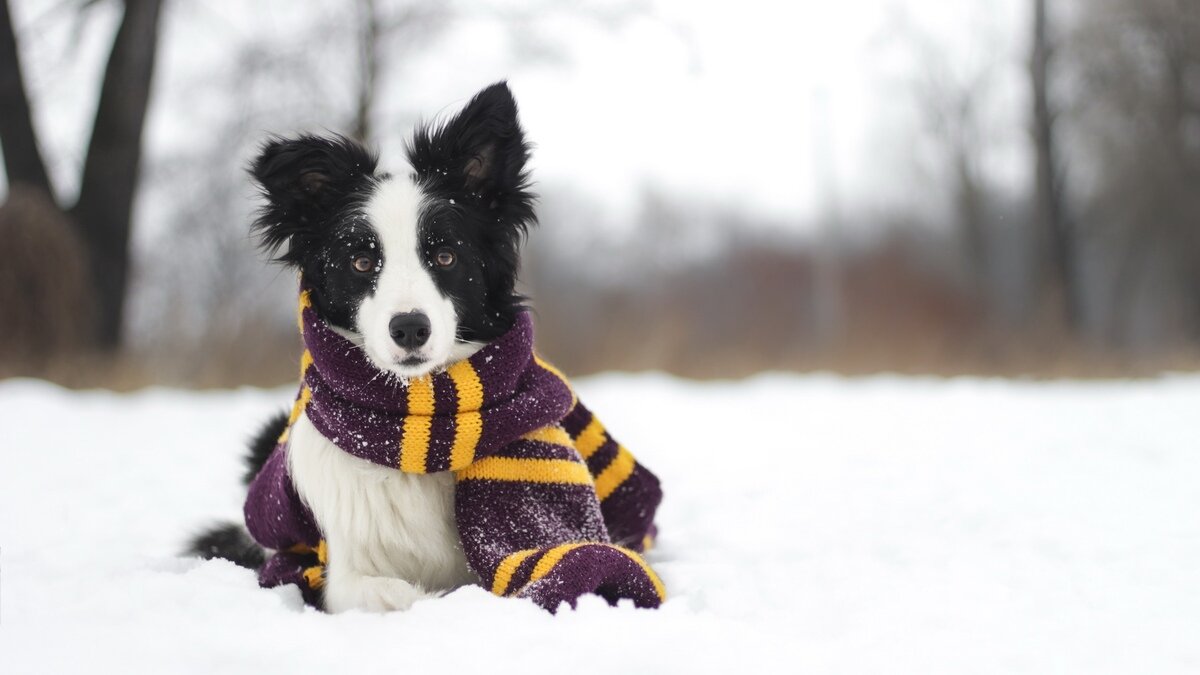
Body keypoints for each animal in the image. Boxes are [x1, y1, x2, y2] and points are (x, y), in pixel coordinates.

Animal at [192, 82, 672, 610]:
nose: (409, 328)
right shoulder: (344, 577)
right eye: (361, 262)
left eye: (445, 256)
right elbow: (404, 595)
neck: (421, 422)